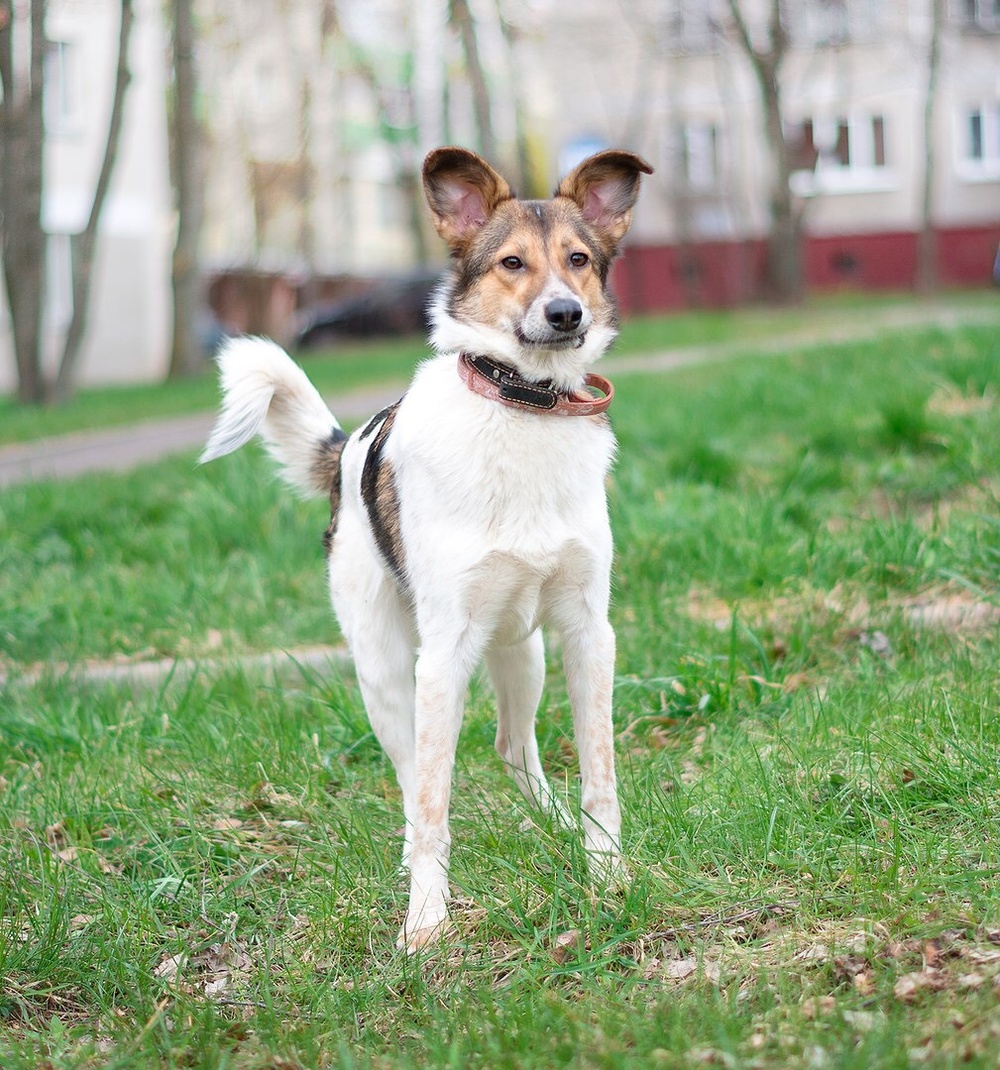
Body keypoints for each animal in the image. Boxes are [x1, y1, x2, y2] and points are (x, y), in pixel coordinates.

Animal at [204, 146, 658, 950]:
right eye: (511, 263)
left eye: (578, 260)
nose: (564, 313)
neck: (523, 405)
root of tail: (346, 452)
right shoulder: (441, 658)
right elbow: (432, 805)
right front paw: (426, 924)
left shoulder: (587, 633)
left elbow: (600, 774)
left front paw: (607, 879)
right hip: (386, 673)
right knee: (414, 781)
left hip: (522, 651)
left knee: (514, 748)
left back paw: (553, 826)